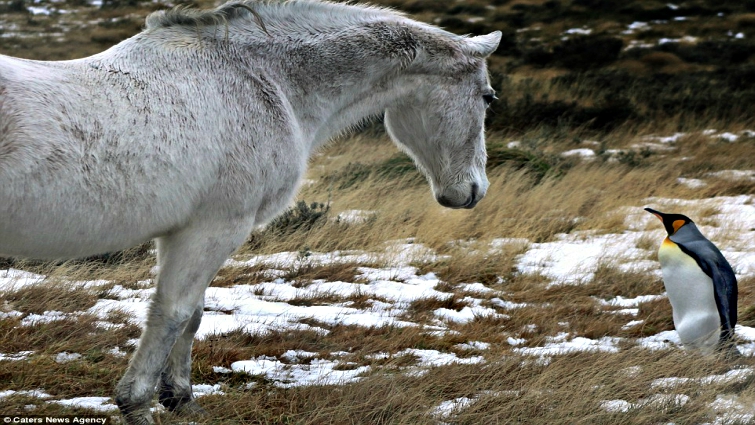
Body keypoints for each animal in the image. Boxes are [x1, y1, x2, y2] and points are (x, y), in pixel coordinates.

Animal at [0, 0, 500, 423]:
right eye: (488, 97)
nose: (474, 191)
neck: (264, 81)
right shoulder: (215, 227)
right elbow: (173, 313)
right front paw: (138, 403)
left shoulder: (182, 231)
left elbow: (192, 314)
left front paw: (180, 398)